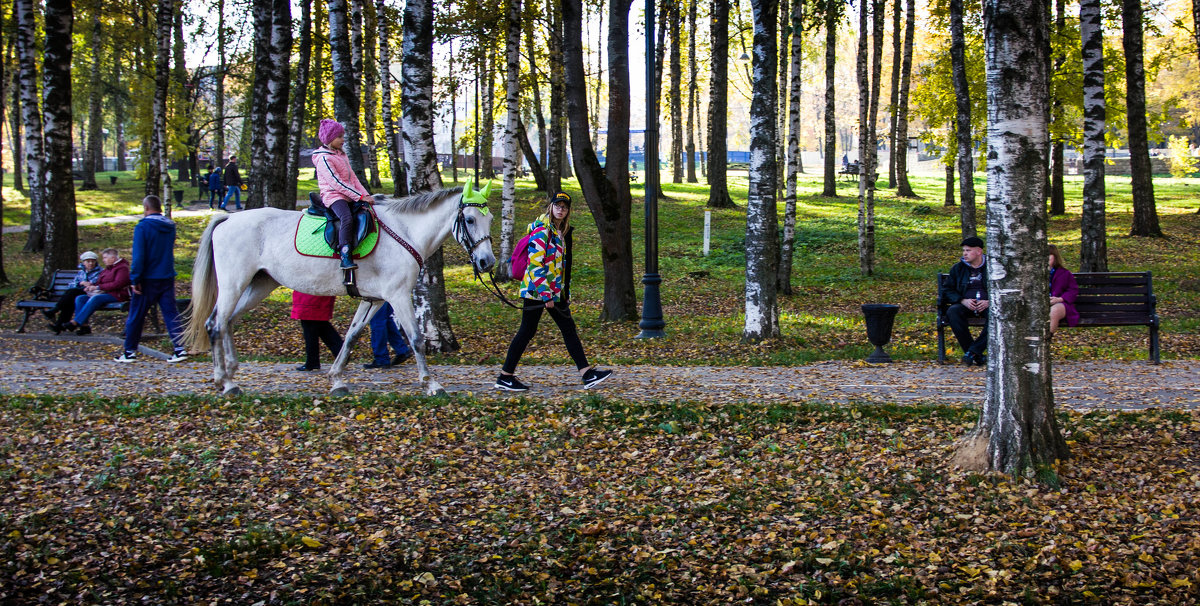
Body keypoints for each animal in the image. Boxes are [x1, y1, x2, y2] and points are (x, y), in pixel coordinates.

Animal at [182, 184, 492, 396]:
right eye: (470, 220)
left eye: (489, 219)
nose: (486, 262)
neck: (404, 232)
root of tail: (228, 219)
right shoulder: (398, 296)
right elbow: (416, 338)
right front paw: (431, 383)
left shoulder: (374, 300)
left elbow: (351, 337)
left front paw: (337, 379)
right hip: (234, 284)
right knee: (215, 323)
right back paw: (225, 381)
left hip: (259, 284)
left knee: (227, 322)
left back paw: (230, 373)